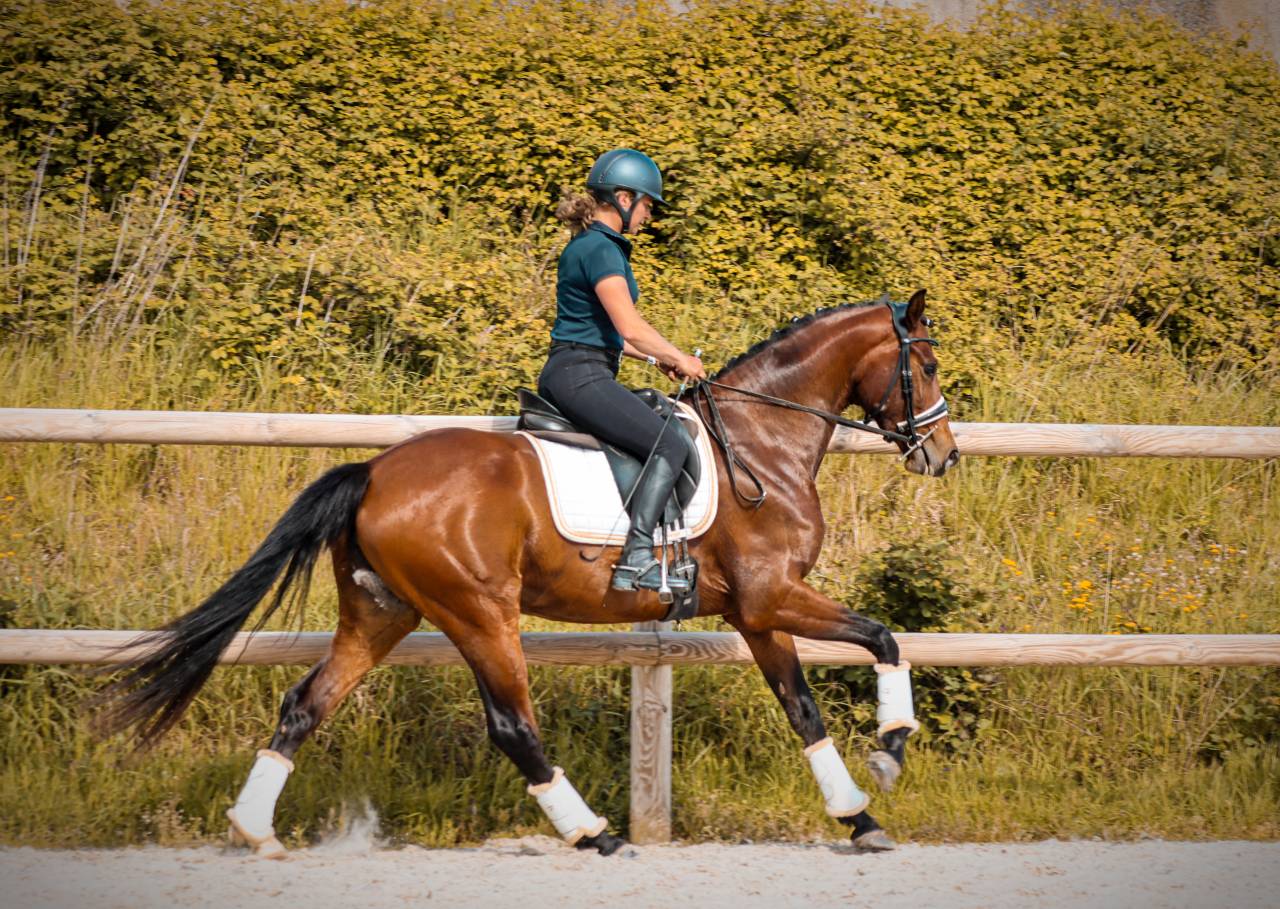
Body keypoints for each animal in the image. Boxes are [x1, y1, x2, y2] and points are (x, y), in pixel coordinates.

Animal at [94, 289, 958, 858]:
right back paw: (594, 832)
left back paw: (255, 829)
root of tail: (373, 473)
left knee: (307, 703)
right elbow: (884, 636)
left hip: (381, 613)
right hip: (480, 613)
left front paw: (858, 815)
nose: (943, 454)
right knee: (513, 725)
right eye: (925, 362)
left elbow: (803, 709)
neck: (761, 440)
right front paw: (891, 747)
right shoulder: (772, 594)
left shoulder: (755, 612)